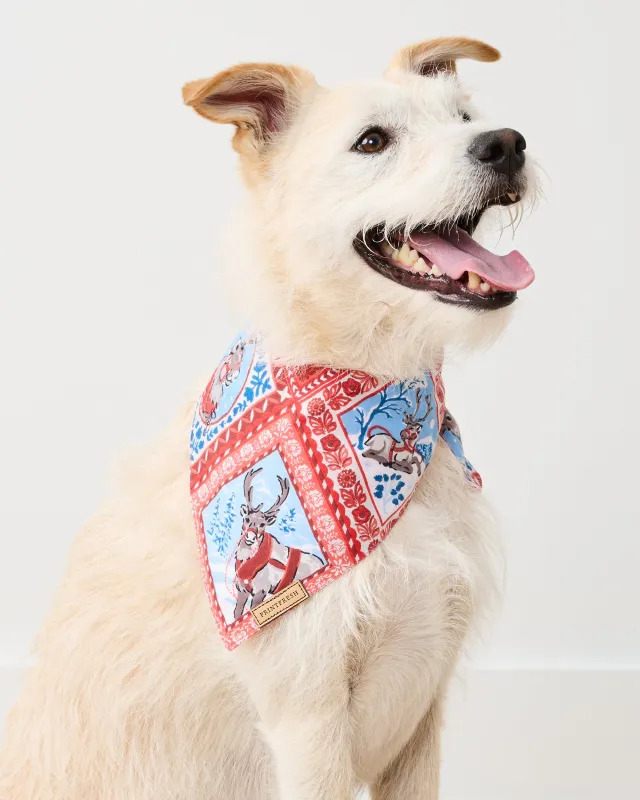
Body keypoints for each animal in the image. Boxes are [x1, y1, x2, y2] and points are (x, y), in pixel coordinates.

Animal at [233, 467, 325, 620]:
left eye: (262, 524)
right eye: (246, 519)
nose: (251, 537)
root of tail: (321, 562)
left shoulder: (261, 589)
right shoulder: (241, 589)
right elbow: (237, 613)